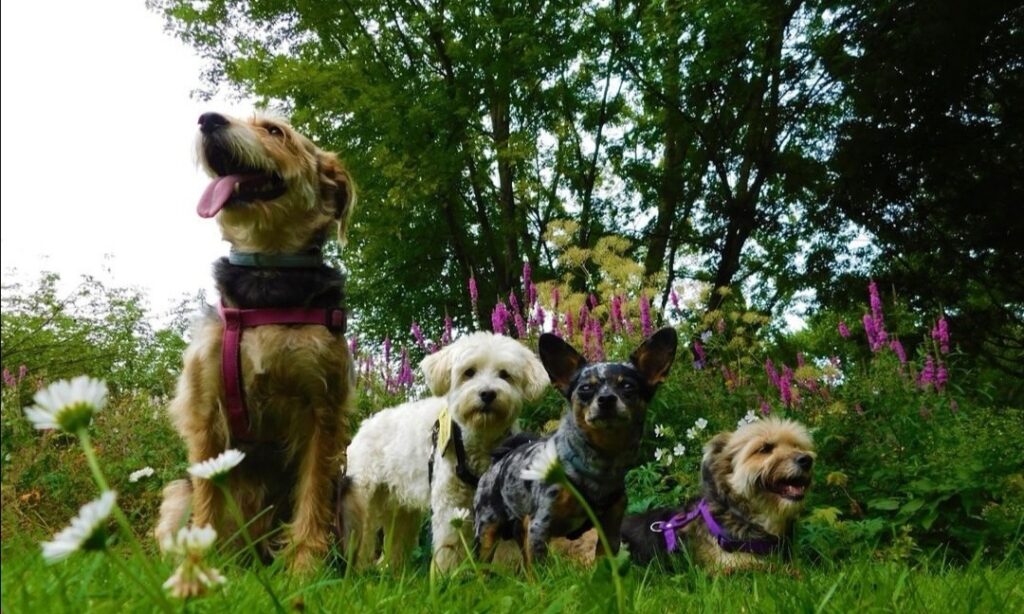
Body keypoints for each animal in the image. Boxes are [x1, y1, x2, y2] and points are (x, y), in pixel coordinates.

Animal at [153, 112, 358, 573]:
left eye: (275, 131)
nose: (208, 118)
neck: (268, 274)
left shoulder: (322, 409)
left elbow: (312, 497)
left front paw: (304, 572)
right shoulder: (205, 410)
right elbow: (208, 501)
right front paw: (198, 568)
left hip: (351, 492)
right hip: (176, 495)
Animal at [342, 333, 552, 573]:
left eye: (505, 374)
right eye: (469, 372)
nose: (487, 393)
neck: (481, 440)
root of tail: (364, 426)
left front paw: (504, 574)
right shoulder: (451, 502)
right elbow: (450, 546)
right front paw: (445, 576)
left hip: (400, 510)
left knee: (396, 542)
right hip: (364, 496)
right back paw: (356, 571)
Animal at [473, 329, 679, 568]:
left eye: (627, 386)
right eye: (585, 389)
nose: (606, 399)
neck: (600, 462)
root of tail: (498, 462)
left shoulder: (610, 529)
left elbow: (605, 565)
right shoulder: (540, 527)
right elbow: (541, 571)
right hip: (487, 533)